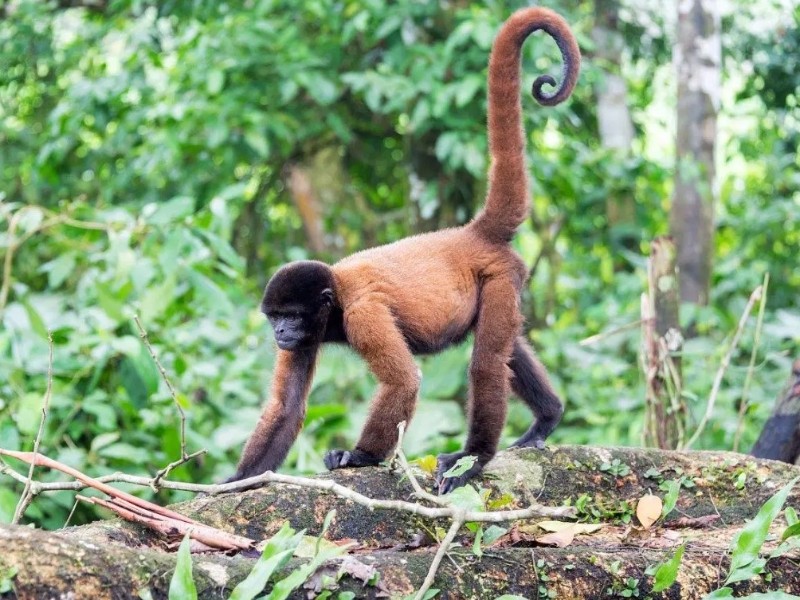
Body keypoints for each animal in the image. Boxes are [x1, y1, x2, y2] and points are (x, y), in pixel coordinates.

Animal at [227, 7, 580, 494]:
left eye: (292, 316)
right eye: (275, 318)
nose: (280, 332)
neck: (336, 297)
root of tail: (472, 233)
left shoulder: (362, 314)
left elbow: (403, 382)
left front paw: (359, 456)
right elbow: (286, 408)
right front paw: (233, 482)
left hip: (501, 276)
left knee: (487, 362)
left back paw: (473, 457)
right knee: (510, 350)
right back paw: (547, 418)